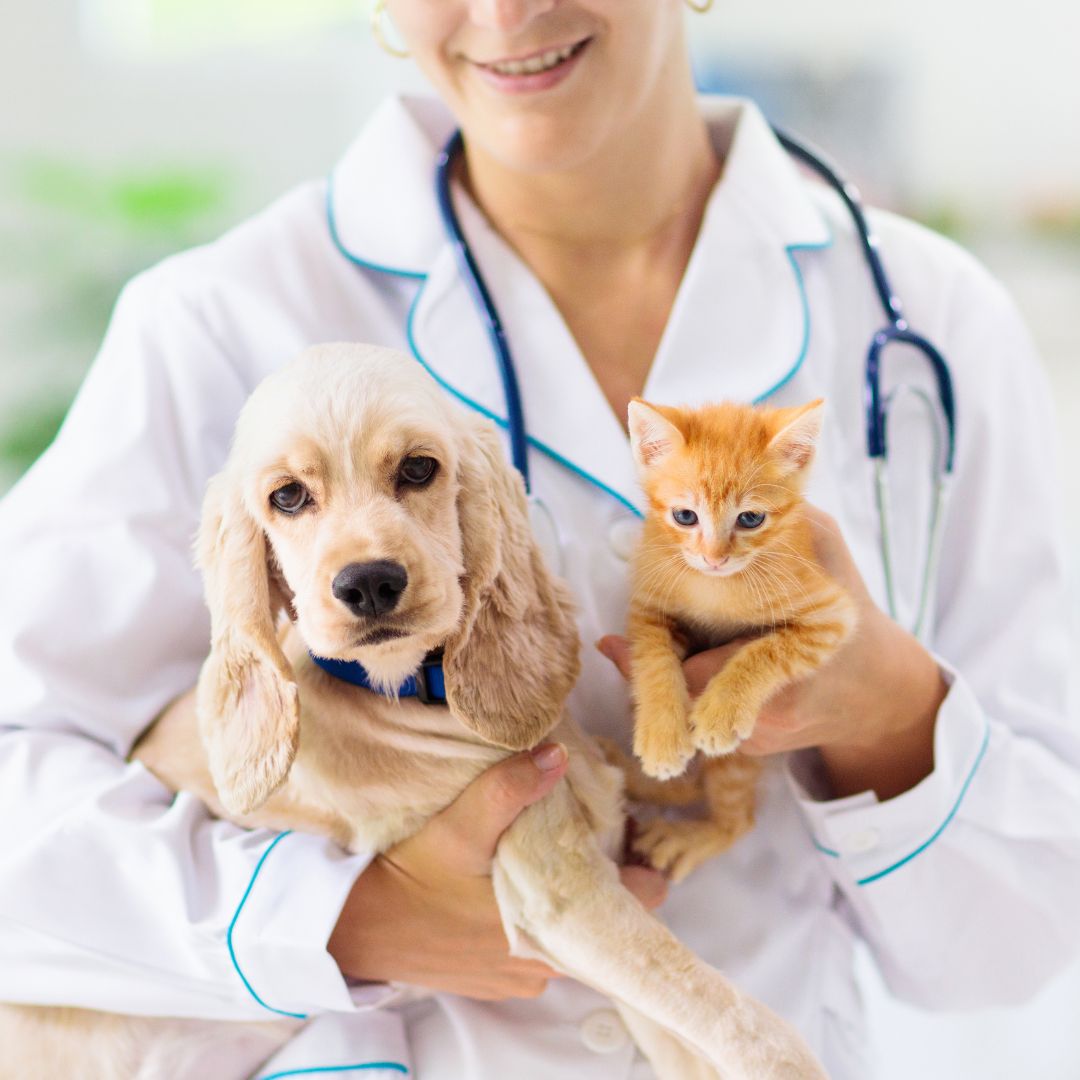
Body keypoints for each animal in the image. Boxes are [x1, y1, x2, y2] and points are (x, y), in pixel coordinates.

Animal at [626, 401, 851, 881]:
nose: (714, 558)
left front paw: (721, 711)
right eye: (685, 516)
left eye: (750, 518)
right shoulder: (647, 605)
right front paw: (662, 734)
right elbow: (652, 660)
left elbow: (768, 650)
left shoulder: (832, 615)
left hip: (739, 762)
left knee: (737, 817)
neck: (715, 588)